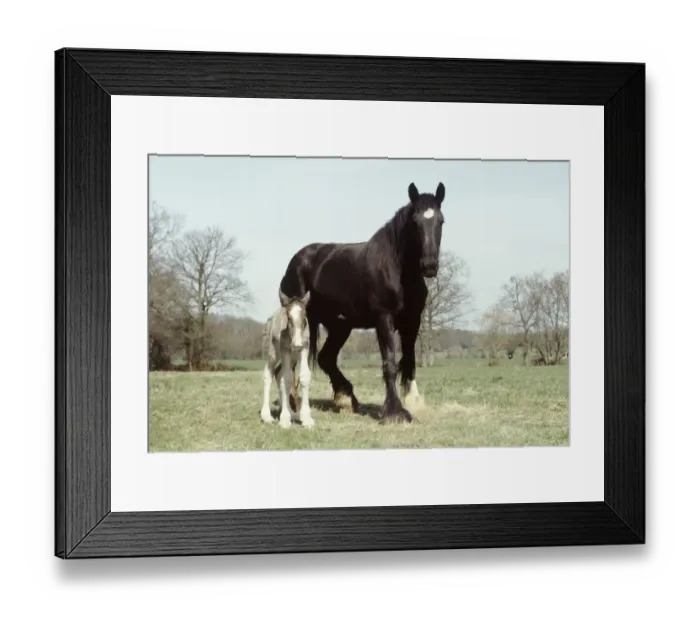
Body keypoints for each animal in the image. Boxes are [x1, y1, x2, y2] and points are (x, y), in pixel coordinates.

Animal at [260, 290, 315, 429]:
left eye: (304, 318)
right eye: (289, 318)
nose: (297, 345)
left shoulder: (304, 348)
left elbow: (304, 376)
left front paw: (306, 418)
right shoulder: (285, 350)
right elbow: (288, 379)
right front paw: (284, 419)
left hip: (293, 358)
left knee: (279, 374)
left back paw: (292, 413)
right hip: (273, 353)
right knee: (269, 374)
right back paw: (266, 415)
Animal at [278, 182, 446, 425]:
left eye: (441, 221)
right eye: (415, 222)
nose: (430, 265)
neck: (397, 268)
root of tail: (294, 263)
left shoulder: (412, 322)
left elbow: (410, 361)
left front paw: (414, 404)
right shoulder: (384, 319)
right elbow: (389, 363)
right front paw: (394, 412)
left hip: (340, 326)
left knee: (326, 358)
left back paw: (345, 399)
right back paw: (295, 406)